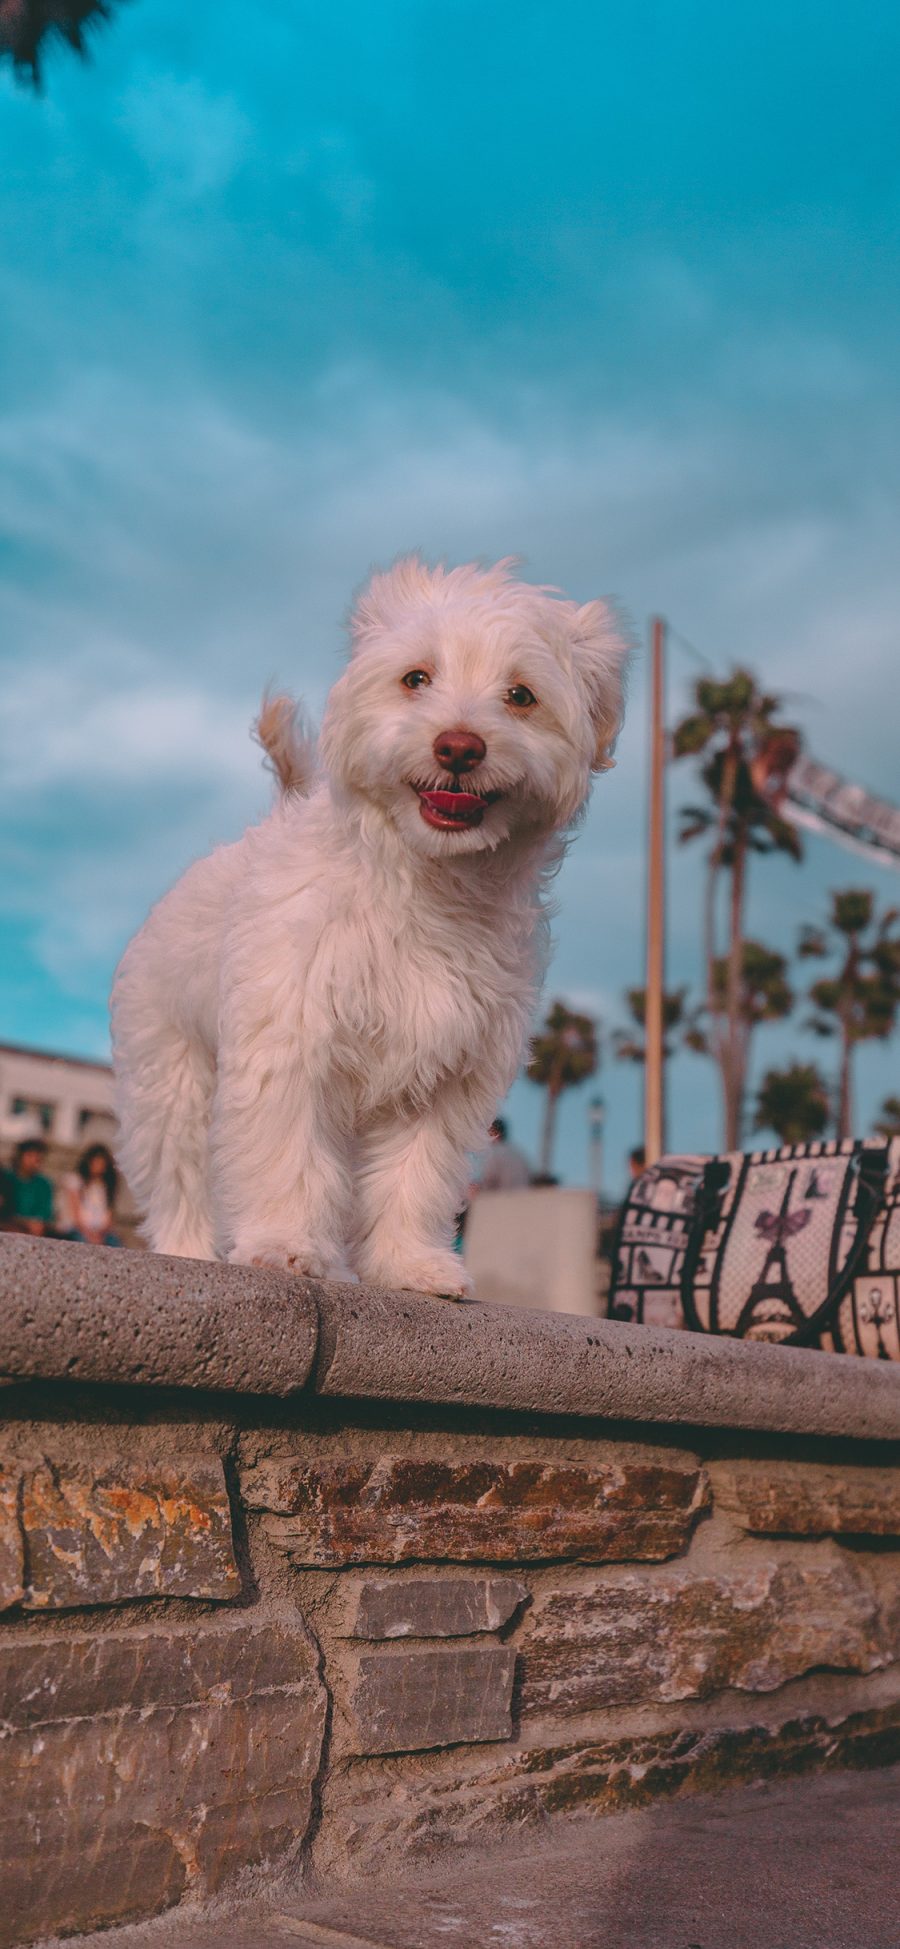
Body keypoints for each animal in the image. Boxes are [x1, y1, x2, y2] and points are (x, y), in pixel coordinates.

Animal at [112, 561, 627, 1294]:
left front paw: (409, 1263)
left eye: (521, 696)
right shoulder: (290, 1043)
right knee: (179, 1174)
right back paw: (187, 1251)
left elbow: (416, 1173)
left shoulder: (444, 1073)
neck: (423, 881)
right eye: (416, 678)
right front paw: (286, 1245)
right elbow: (287, 1155)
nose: (460, 747)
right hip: (172, 1072)